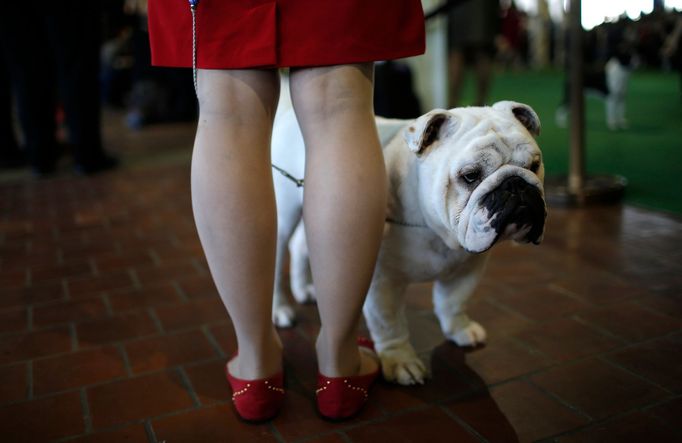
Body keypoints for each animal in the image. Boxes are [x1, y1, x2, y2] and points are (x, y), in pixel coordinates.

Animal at [268, 86, 544, 386]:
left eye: (534, 165)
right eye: (470, 175)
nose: (516, 185)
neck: (434, 227)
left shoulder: (468, 269)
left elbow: (453, 302)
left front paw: (459, 330)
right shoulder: (382, 283)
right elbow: (390, 325)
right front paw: (401, 361)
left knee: (300, 246)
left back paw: (305, 289)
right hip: (283, 217)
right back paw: (280, 309)